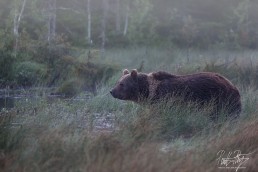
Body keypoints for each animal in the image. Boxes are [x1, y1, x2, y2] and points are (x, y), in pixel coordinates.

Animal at [110, 69, 241, 119]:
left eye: (121, 84)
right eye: (117, 82)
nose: (111, 91)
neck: (148, 91)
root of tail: (232, 85)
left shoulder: (164, 98)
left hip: (218, 97)